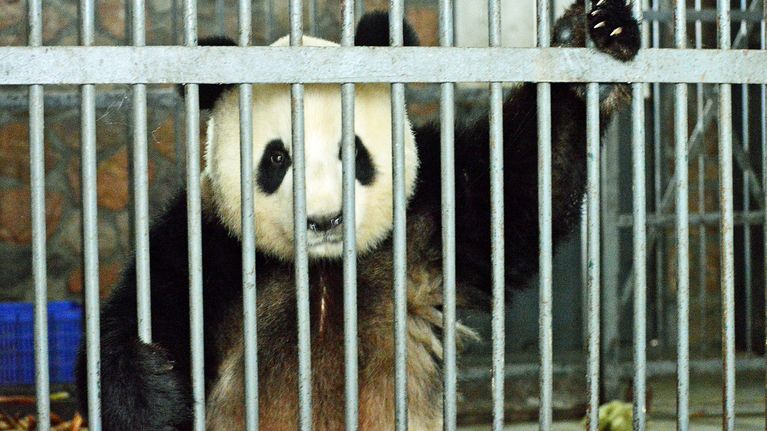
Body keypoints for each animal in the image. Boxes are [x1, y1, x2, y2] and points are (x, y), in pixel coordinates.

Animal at [76, 1, 639, 430]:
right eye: (277, 158)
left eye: (353, 151)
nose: (324, 219)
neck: (323, 270)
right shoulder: (210, 246)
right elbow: (138, 314)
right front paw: (151, 390)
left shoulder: (430, 217)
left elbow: (518, 190)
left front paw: (592, 39)